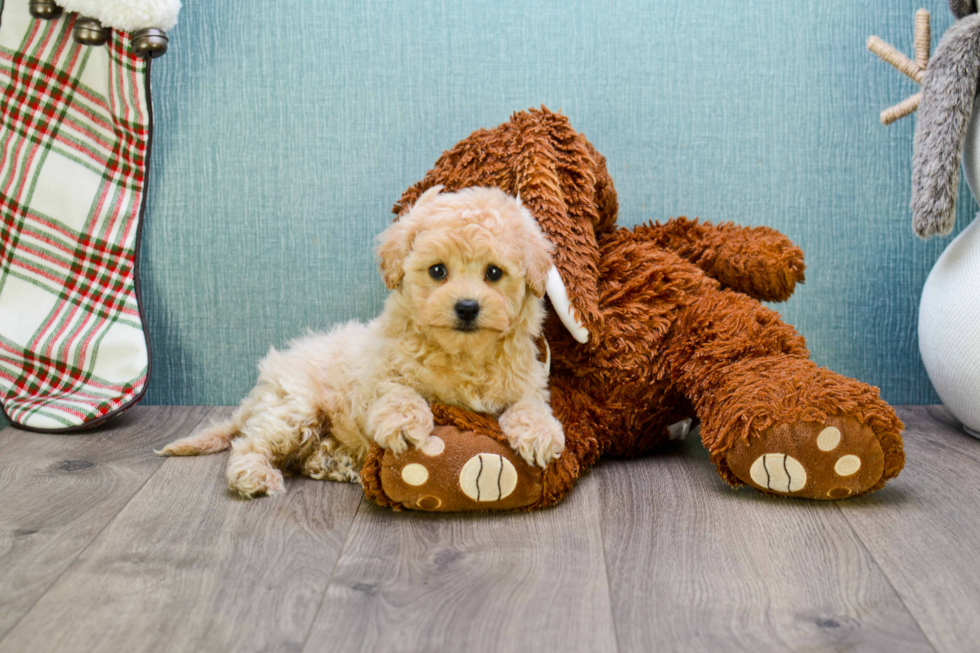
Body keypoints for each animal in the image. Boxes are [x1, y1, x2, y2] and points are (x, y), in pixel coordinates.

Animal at [158, 186, 564, 496]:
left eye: (494, 273)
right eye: (437, 271)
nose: (467, 307)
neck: (460, 354)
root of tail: (258, 393)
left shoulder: (525, 379)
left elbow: (530, 404)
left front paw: (540, 434)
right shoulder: (380, 373)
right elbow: (399, 391)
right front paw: (404, 425)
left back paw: (334, 463)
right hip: (294, 408)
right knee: (250, 444)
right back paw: (255, 476)